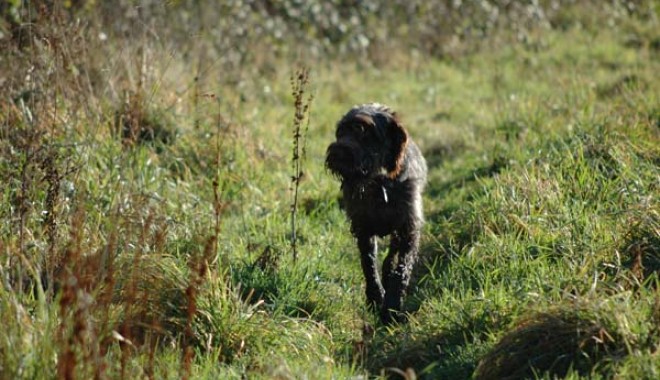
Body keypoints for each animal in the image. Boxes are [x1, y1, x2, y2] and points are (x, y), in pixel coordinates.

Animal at [324, 104, 428, 324]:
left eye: (362, 130)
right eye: (340, 132)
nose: (336, 152)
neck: (379, 184)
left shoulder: (409, 230)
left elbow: (401, 269)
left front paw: (391, 307)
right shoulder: (363, 229)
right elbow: (368, 265)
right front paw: (375, 298)